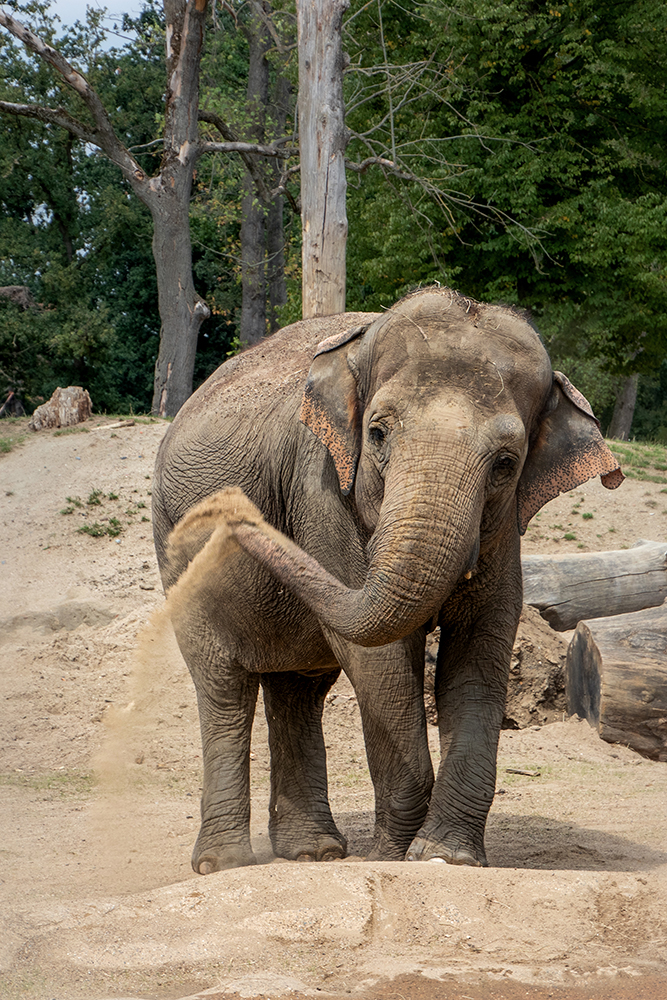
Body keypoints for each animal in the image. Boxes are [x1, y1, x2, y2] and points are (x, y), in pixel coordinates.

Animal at [151, 288, 620, 876]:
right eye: (376, 433)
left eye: (507, 463)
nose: (227, 510)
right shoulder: (323, 491)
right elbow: (380, 663)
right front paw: (392, 857)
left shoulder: (504, 530)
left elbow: (479, 655)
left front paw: (446, 856)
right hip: (173, 553)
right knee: (223, 685)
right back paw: (227, 863)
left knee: (296, 690)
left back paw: (314, 852)